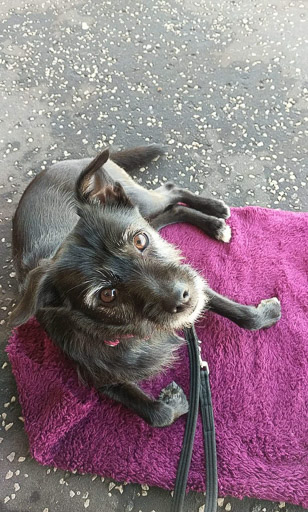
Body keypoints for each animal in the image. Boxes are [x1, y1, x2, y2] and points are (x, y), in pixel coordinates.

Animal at [11, 145, 282, 428]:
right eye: (107, 295)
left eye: (140, 240)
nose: (182, 298)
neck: (139, 331)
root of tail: (56, 165)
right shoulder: (103, 382)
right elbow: (158, 415)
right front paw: (175, 402)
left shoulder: (190, 279)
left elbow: (243, 315)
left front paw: (267, 314)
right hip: (148, 215)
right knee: (173, 209)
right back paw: (215, 223)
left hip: (141, 202)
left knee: (172, 191)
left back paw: (216, 215)